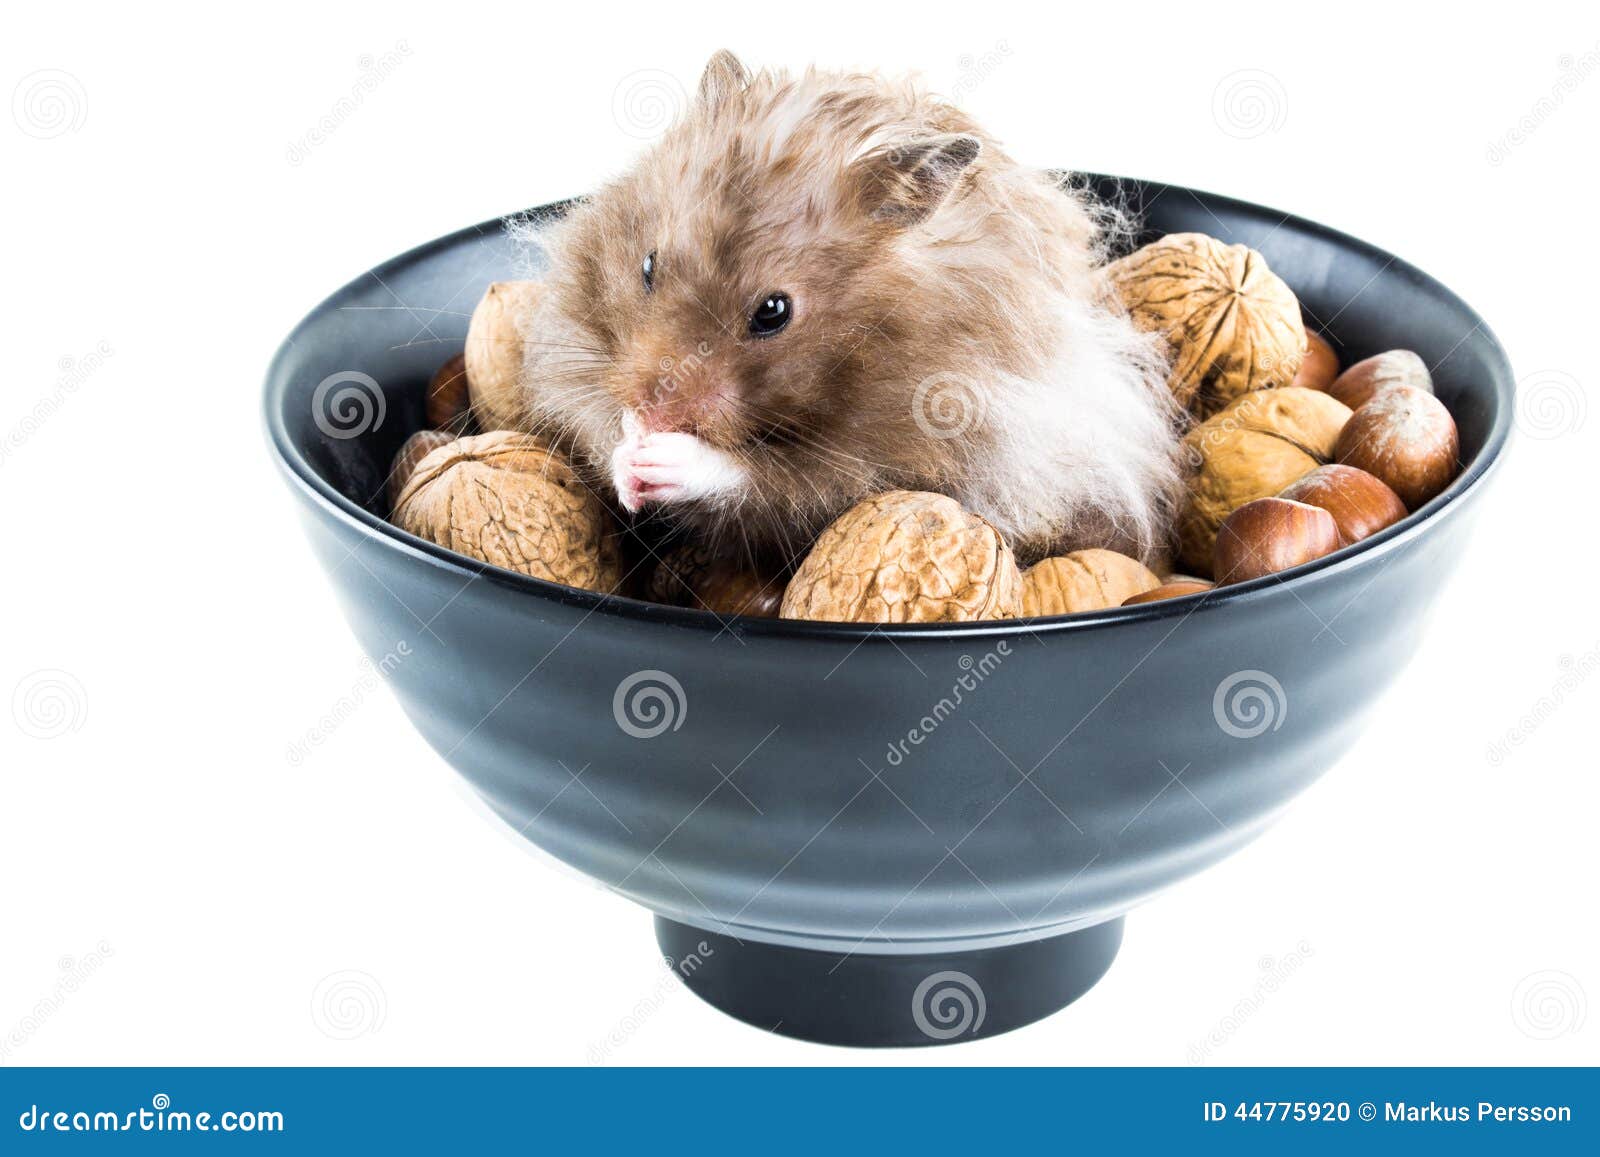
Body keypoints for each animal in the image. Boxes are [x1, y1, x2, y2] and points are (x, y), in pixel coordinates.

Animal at [514, 51, 1183, 567]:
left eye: (774, 311)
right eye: (648, 266)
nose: (655, 412)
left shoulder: (919, 443)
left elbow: (782, 481)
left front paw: (664, 456)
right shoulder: (572, 346)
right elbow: (594, 416)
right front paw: (631, 451)